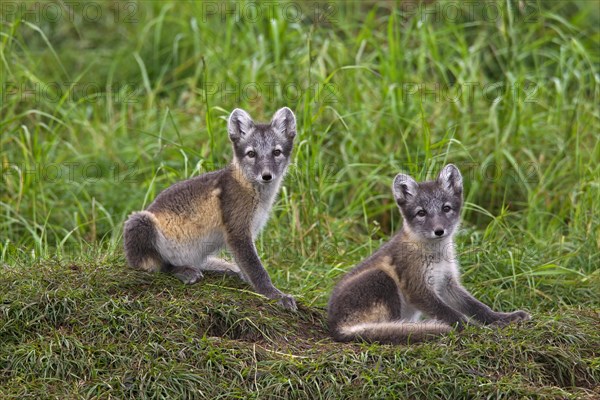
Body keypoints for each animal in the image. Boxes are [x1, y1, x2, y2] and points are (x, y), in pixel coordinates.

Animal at [123, 108, 298, 310]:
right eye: (251, 154)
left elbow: (246, 265)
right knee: (157, 265)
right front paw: (275, 295)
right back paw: (185, 271)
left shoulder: (248, 232)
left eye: (276, 152)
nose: (266, 176)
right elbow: (257, 269)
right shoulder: (237, 231)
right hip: (140, 221)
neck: (256, 193)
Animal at [328, 164, 528, 342]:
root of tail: (336, 327)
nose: (439, 231)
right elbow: (452, 314)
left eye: (446, 208)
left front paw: (503, 318)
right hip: (380, 278)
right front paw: (476, 329)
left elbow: (477, 307)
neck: (437, 255)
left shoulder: (447, 282)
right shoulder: (417, 288)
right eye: (421, 213)